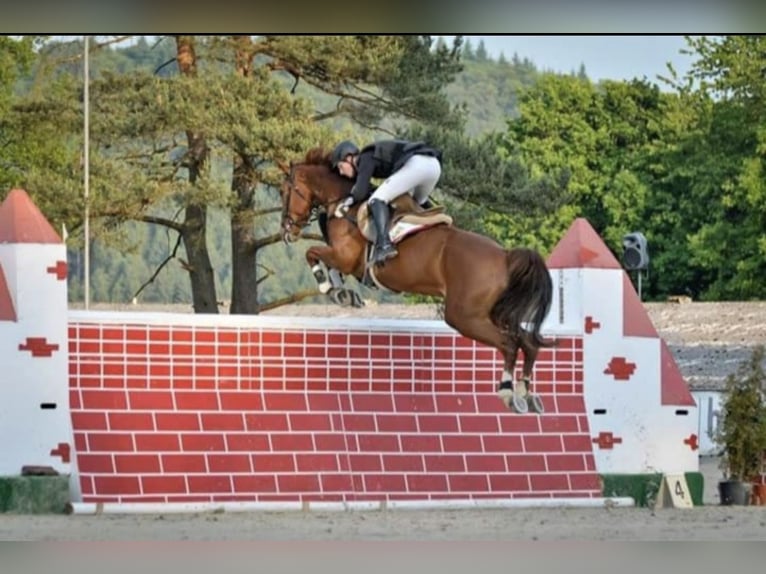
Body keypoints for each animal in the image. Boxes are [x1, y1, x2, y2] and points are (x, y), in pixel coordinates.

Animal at [280, 146, 556, 412]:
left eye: (285, 192)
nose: (287, 230)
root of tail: (505, 255)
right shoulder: (345, 261)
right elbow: (329, 266)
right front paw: (343, 294)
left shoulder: (345, 257)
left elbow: (312, 253)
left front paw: (330, 287)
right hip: (494, 313)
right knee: (527, 343)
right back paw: (526, 394)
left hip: (465, 316)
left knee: (509, 344)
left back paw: (508, 393)